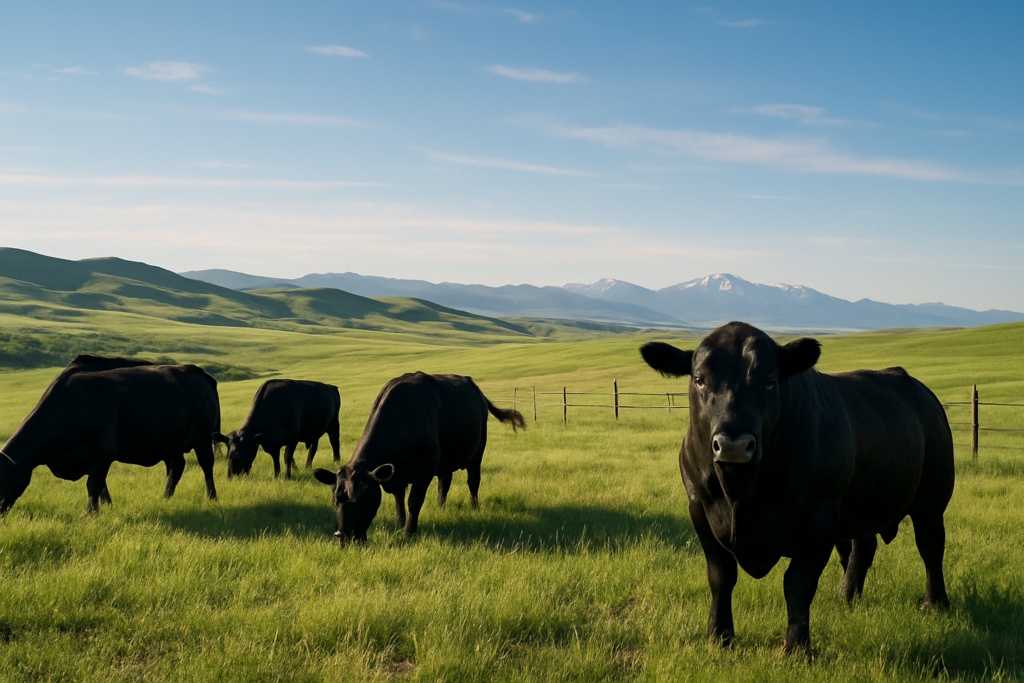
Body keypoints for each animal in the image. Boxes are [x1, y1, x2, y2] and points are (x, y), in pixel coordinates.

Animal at [0, 358, 221, 515]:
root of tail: (198, 371)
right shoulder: (94, 458)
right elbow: (99, 485)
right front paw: (103, 507)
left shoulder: (102, 452)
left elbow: (94, 484)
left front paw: (89, 513)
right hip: (172, 443)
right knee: (176, 467)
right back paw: (166, 497)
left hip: (202, 439)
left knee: (206, 465)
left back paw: (211, 497)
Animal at [313, 372, 526, 544]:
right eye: (335, 499)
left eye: (360, 495)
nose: (342, 537)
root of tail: (474, 387)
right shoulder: (395, 474)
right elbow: (399, 500)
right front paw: (399, 524)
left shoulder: (425, 470)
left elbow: (414, 501)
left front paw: (409, 531)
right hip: (446, 459)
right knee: (445, 482)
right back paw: (441, 507)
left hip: (477, 453)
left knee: (473, 481)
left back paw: (474, 508)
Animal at [640, 322, 954, 654]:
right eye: (699, 379)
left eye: (770, 382)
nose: (733, 444)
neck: (741, 496)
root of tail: (922, 392)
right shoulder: (700, 509)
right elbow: (721, 577)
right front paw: (719, 635)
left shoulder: (820, 519)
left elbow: (798, 584)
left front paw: (797, 647)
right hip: (863, 506)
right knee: (862, 547)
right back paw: (847, 597)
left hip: (932, 501)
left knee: (931, 548)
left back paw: (935, 603)